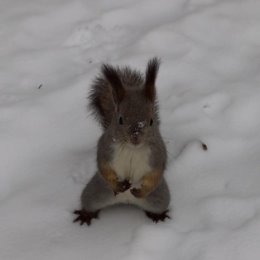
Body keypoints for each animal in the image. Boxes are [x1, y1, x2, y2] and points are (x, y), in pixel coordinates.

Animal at [73, 58, 171, 224]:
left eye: (151, 121)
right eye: (120, 119)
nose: (135, 137)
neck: (132, 148)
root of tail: (126, 201)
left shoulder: (157, 153)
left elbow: (156, 173)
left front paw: (141, 191)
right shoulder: (106, 148)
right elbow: (104, 167)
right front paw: (118, 185)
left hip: (159, 197)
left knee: (158, 203)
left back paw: (157, 215)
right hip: (94, 193)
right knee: (90, 202)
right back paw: (86, 214)